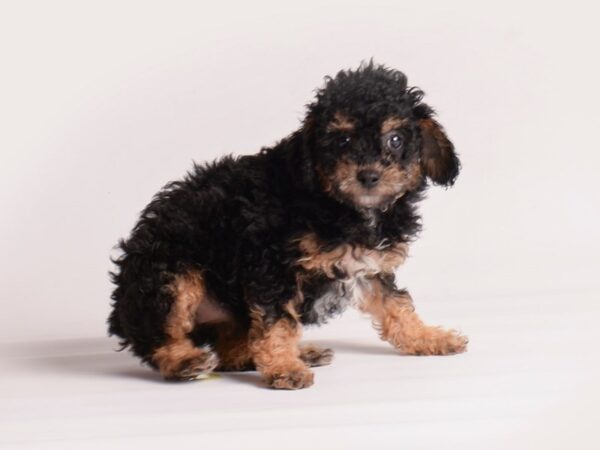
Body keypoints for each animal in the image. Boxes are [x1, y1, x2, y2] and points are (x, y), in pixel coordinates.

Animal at [111, 61, 468, 388]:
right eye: (342, 141)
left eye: (395, 139)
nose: (368, 175)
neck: (344, 207)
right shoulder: (271, 266)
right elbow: (277, 321)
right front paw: (284, 368)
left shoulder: (368, 268)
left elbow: (397, 305)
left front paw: (428, 338)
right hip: (171, 274)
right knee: (159, 335)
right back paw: (184, 361)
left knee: (230, 349)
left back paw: (287, 353)